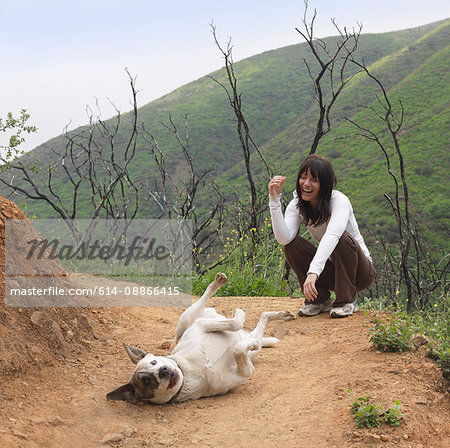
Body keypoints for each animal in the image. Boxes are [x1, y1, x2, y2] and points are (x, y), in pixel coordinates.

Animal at [106, 272, 296, 404]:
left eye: (154, 362)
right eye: (146, 381)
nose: (163, 371)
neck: (189, 371)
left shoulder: (201, 325)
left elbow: (234, 323)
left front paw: (239, 314)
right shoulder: (245, 372)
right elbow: (238, 348)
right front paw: (247, 341)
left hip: (188, 319)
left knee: (206, 301)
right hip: (251, 352)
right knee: (261, 323)